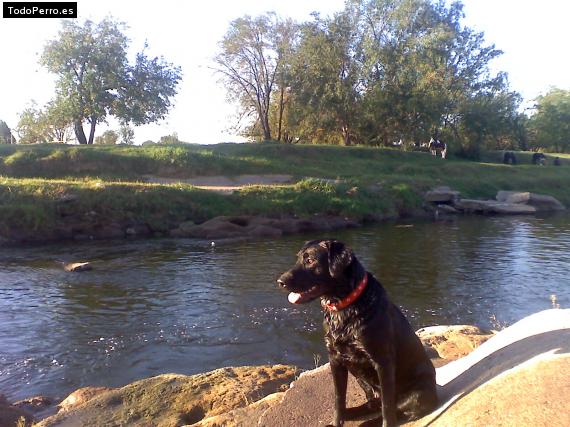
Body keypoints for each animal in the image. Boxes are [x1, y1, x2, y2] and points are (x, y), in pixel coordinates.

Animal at [278, 241, 438, 427]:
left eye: (310, 260)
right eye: (297, 259)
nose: (280, 281)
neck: (344, 309)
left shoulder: (383, 362)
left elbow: (387, 407)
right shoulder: (335, 360)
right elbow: (339, 400)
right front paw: (336, 422)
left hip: (417, 392)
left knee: (395, 409)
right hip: (362, 379)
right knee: (372, 404)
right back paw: (352, 413)